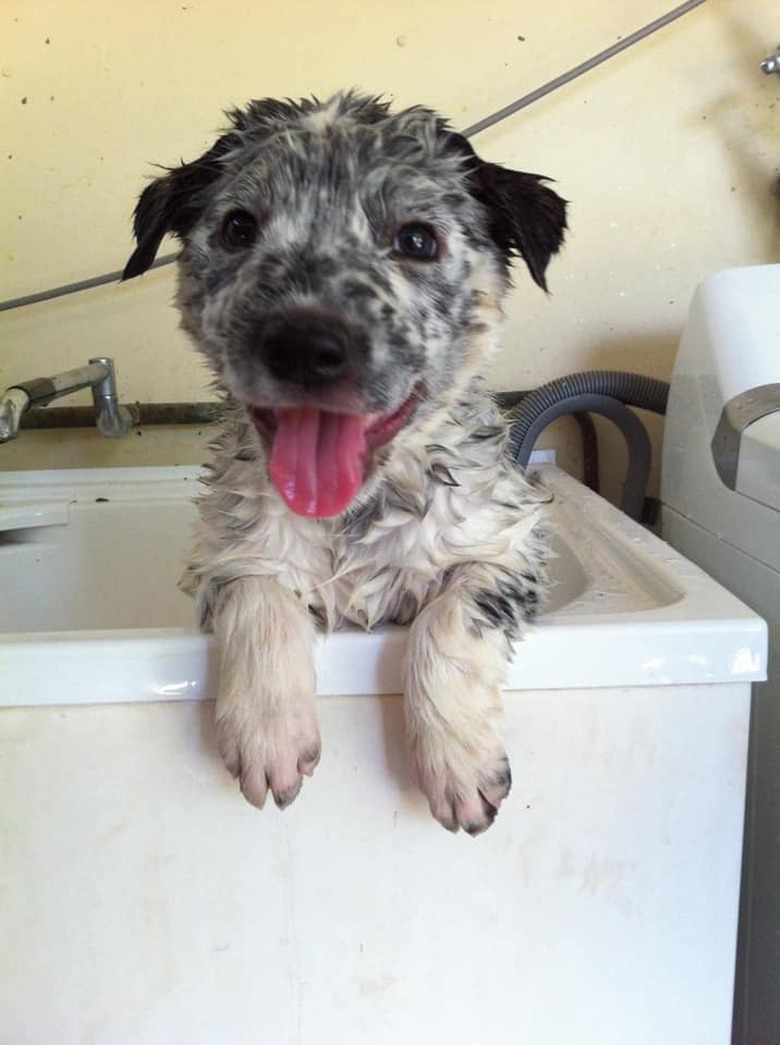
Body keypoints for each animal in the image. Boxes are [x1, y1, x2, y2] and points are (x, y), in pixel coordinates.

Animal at [124, 94, 568, 835]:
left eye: (416, 240)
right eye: (239, 227)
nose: (305, 344)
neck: (355, 511)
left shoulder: (506, 547)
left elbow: (450, 620)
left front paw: (457, 761)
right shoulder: (224, 555)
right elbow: (259, 597)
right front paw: (269, 731)